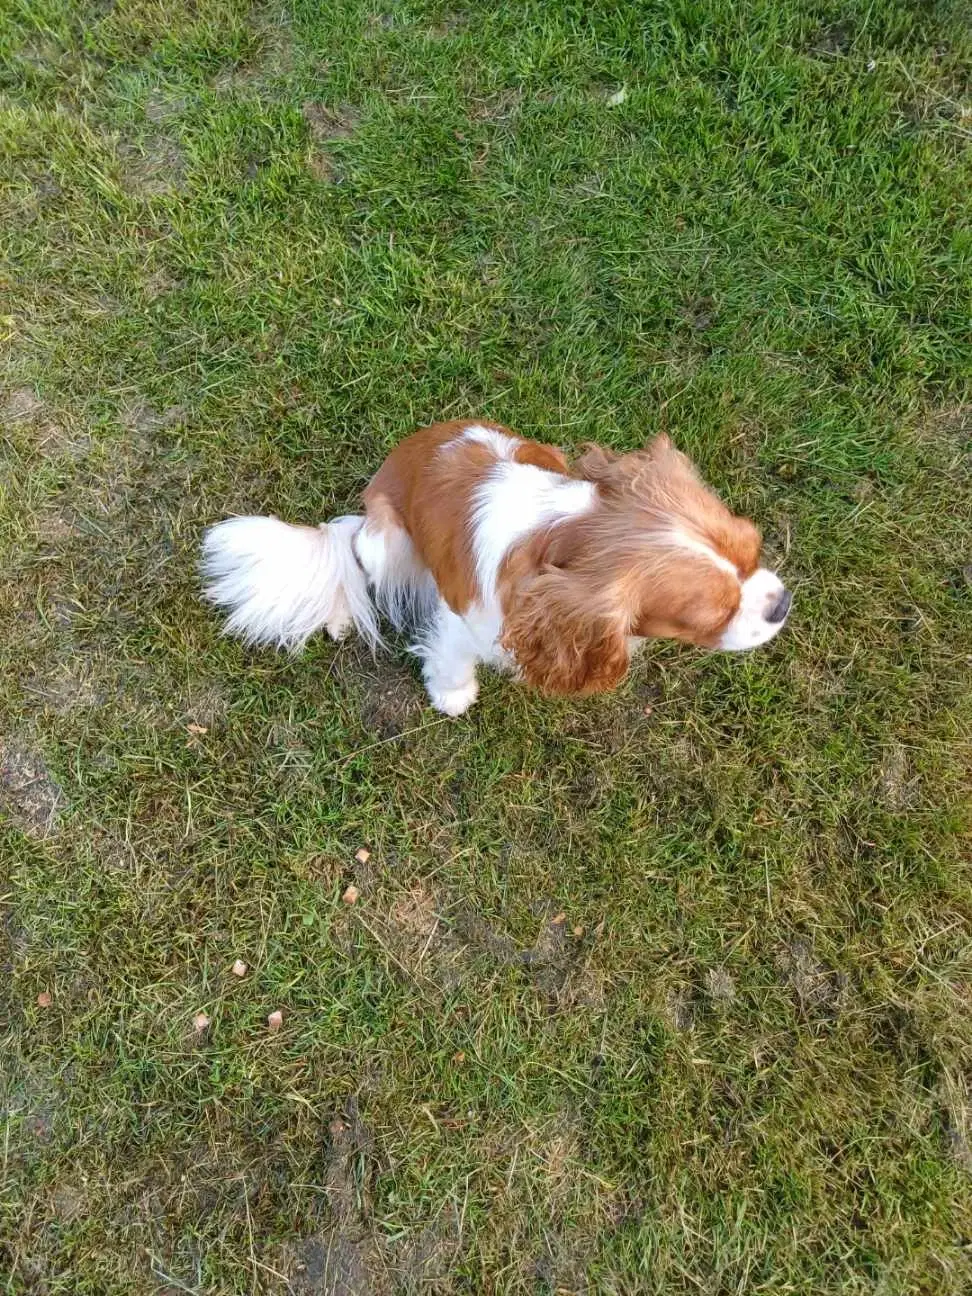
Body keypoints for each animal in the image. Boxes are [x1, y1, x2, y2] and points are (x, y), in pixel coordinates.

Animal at [203, 419, 793, 715]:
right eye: (712, 615)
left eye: (753, 548)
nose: (782, 603)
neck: (563, 536)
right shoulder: (464, 615)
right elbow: (451, 656)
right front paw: (451, 695)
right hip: (384, 540)